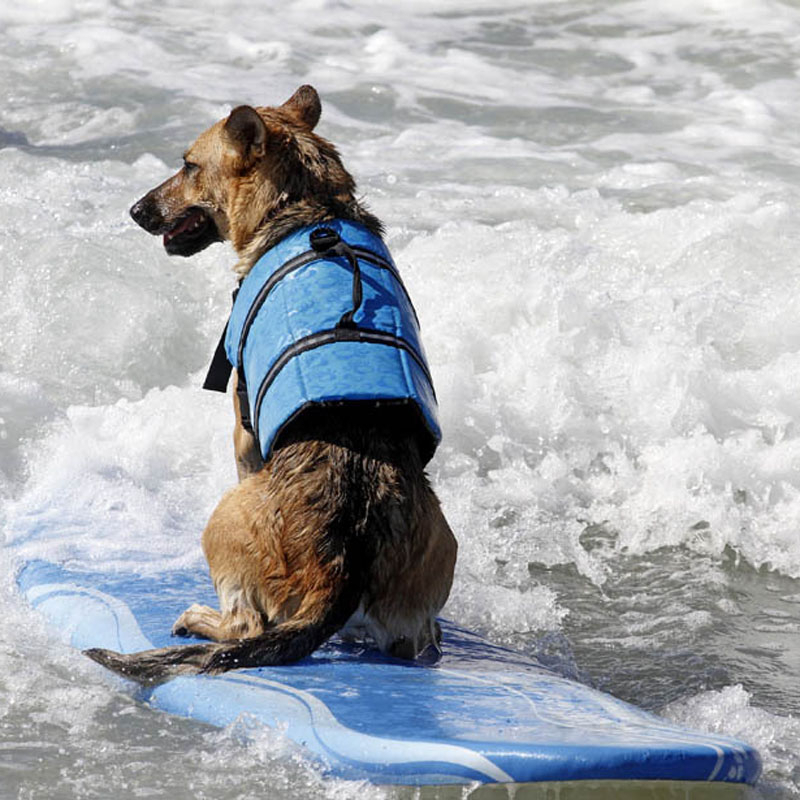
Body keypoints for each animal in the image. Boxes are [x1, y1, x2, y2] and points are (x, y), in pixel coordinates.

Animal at [85, 86, 460, 680]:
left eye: (189, 165)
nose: (136, 210)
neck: (308, 208)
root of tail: (346, 560)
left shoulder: (241, 429)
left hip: (224, 518)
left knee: (245, 627)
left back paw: (199, 618)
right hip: (429, 572)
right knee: (414, 638)